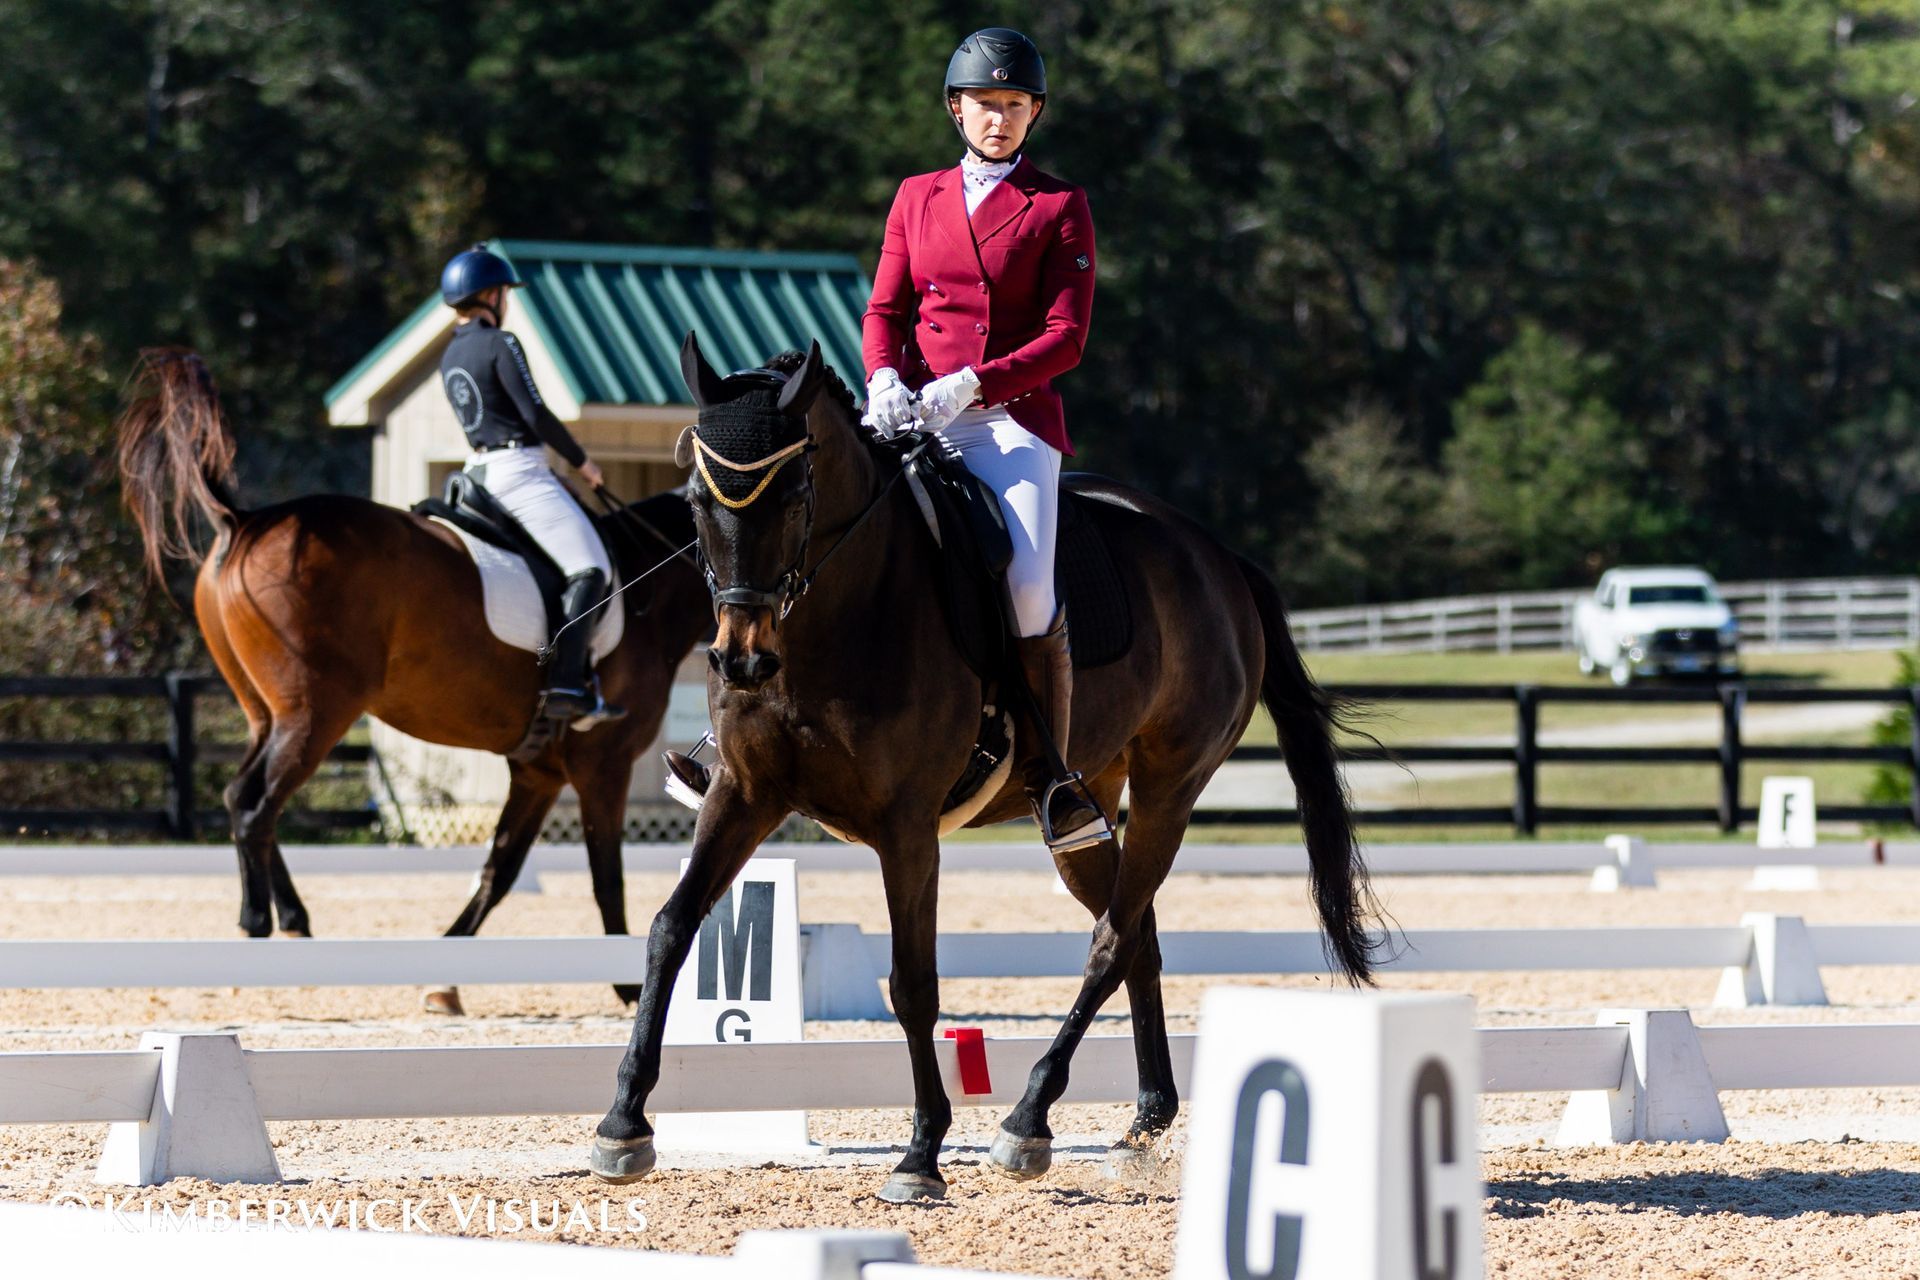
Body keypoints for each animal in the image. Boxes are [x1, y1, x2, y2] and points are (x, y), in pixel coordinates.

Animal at [115, 349, 713, 1006]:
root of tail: (246, 521)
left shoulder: (539, 769)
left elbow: (499, 871)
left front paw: (444, 982)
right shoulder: (602, 763)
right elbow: (606, 876)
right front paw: (630, 988)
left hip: (265, 713)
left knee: (245, 800)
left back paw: (293, 923)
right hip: (315, 713)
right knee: (254, 805)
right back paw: (256, 929)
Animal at [587, 335, 1381, 1201]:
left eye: (795, 494)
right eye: (699, 499)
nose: (741, 661)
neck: (839, 613)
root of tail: (1218, 557)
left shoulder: (906, 829)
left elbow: (913, 983)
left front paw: (921, 1154)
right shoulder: (744, 794)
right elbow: (669, 930)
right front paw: (623, 1124)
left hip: (1170, 786)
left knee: (1111, 940)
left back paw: (1026, 1120)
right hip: (1083, 804)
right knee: (1135, 934)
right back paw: (1141, 1125)